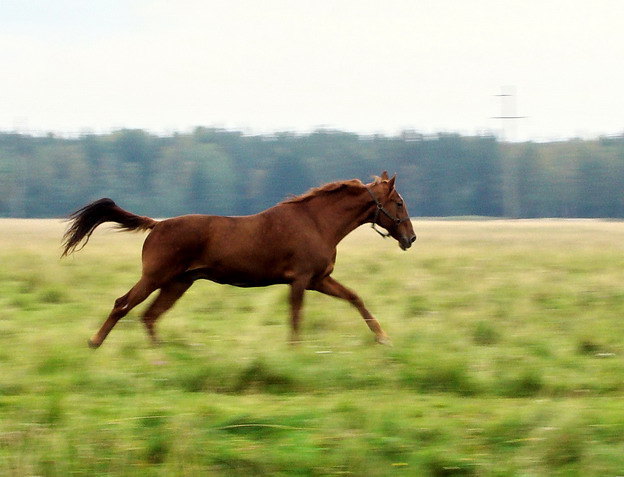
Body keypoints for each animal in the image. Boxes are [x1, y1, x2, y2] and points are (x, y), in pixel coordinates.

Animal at [62, 171, 414, 346]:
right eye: (398, 202)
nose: (410, 238)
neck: (317, 222)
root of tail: (157, 224)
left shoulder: (319, 280)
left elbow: (355, 298)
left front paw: (383, 338)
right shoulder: (301, 281)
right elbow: (296, 318)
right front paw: (295, 352)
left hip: (177, 284)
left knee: (149, 317)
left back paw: (160, 357)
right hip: (155, 278)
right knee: (123, 304)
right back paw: (95, 341)